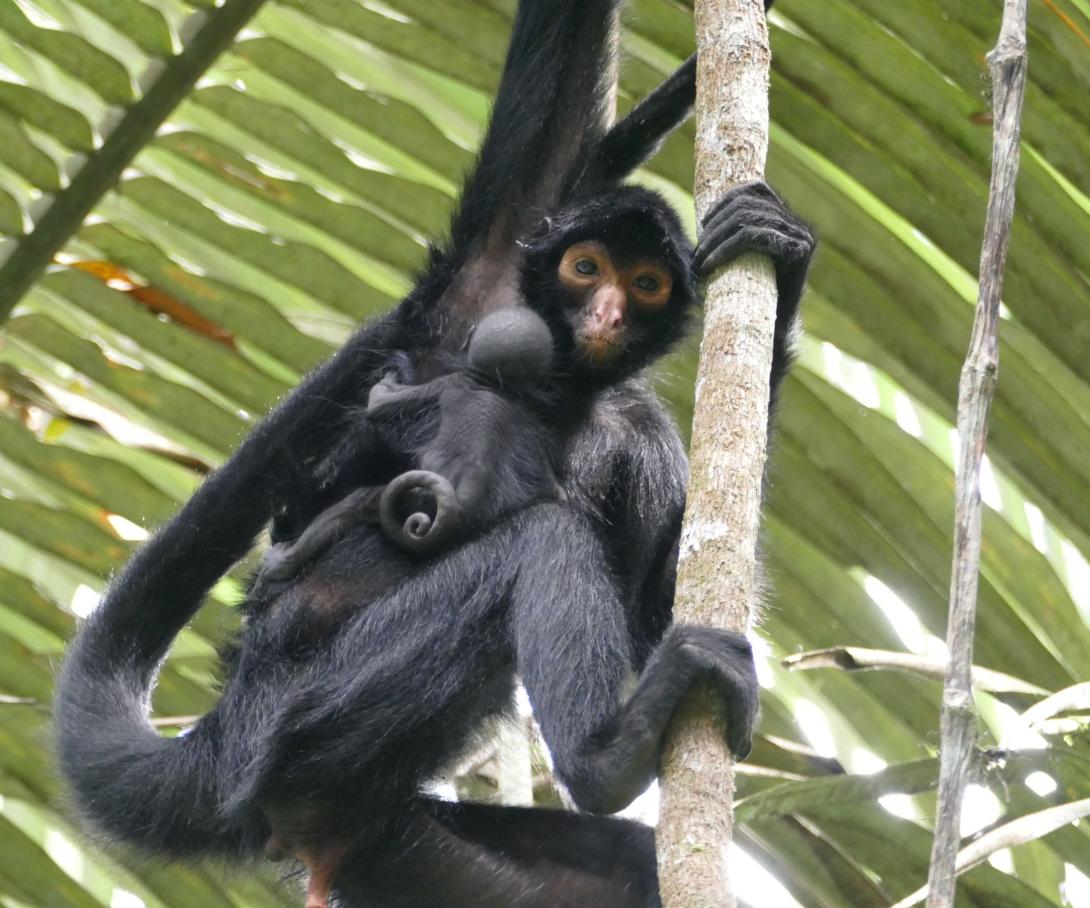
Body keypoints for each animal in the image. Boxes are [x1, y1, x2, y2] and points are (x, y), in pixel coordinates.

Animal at [55, 3, 815, 902]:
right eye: (586, 268)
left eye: (645, 285)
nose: (604, 316)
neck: (560, 394)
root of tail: (225, 738)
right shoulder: (480, 293)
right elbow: (536, 152)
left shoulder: (640, 436)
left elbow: (652, 610)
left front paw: (781, 266)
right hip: (307, 716)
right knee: (542, 537)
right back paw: (607, 762)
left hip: (398, 845)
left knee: (625, 867)